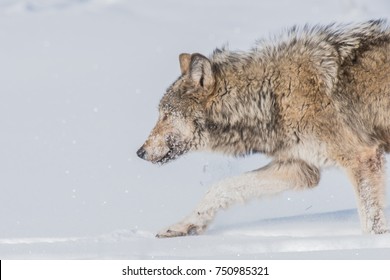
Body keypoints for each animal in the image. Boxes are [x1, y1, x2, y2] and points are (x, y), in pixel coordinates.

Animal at [137, 19, 390, 237]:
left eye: (166, 116)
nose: (140, 152)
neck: (271, 96)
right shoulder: (300, 168)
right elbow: (220, 187)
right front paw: (184, 226)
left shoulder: (361, 157)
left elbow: (371, 224)